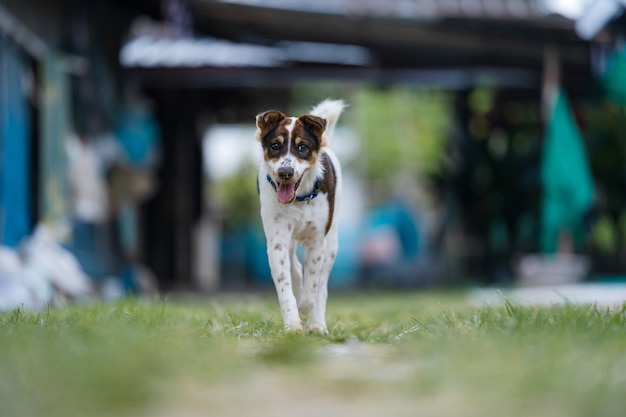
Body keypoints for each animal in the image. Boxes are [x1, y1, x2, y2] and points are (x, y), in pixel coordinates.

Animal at [255, 99, 346, 334]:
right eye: (275, 146)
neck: (299, 199)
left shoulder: (317, 242)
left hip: (332, 243)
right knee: (295, 269)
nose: (285, 172)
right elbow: (285, 286)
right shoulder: (277, 241)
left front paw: (305, 310)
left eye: (302, 147)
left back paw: (317, 324)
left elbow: (313, 285)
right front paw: (293, 325)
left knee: (322, 286)